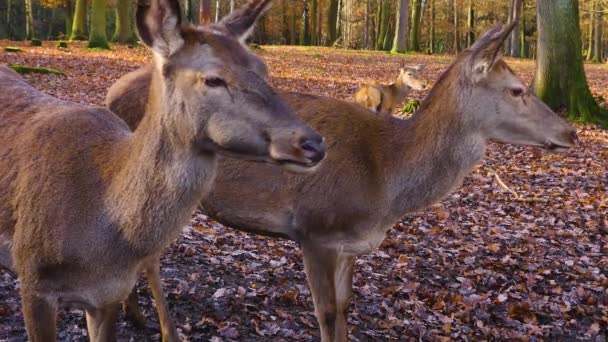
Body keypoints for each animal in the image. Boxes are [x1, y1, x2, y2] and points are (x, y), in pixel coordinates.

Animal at [103, 2, 576, 340]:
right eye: (517, 90)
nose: (570, 132)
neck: (383, 181)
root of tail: (110, 94)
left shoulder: (351, 244)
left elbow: (346, 307)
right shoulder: (314, 229)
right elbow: (326, 313)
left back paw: (135, 314)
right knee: (150, 256)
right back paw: (160, 326)